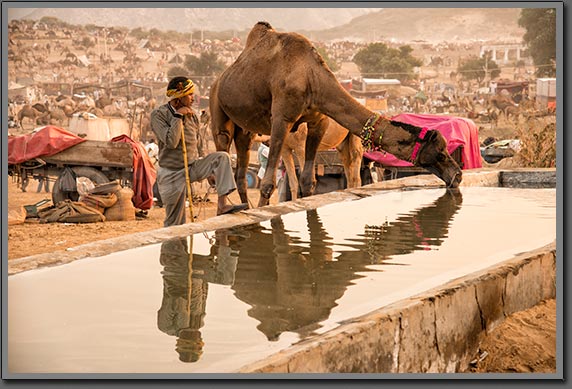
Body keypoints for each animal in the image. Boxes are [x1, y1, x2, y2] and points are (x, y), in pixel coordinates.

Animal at [210, 21, 460, 206]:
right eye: (440, 152)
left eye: (447, 149)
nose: (457, 175)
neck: (311, 77)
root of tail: (218, 81)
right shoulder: (281, 120)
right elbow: (268, 183)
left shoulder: (317, 121)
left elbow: (307, 181)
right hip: (217, 110)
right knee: (223, 146)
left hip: (247, 129)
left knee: (241, 173)